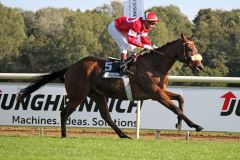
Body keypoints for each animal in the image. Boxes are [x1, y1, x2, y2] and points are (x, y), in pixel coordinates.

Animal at [17, 33, 204, 138]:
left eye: (195, 47)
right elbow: (176, 108)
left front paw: (179, 125)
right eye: (189, 49)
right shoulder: (156, 93)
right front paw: (196, 125)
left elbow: (180, 99)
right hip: (78, 94)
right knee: (64, 112)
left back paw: (124, 135)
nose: (200, 66)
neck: (154, 64)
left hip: (96, 94)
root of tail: (71, 67)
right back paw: (64, 135)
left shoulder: (160, 91)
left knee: (105, 115)